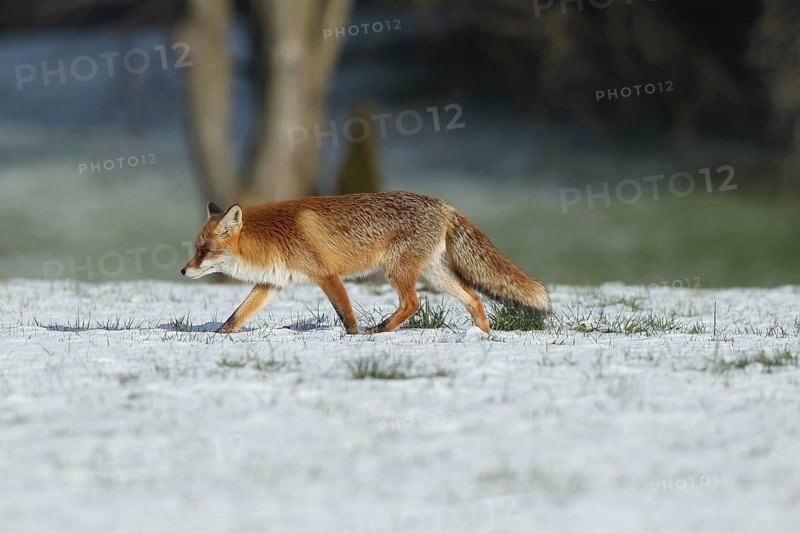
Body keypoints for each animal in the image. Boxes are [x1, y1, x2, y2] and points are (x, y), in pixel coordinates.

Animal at [181, 191, 550, 334]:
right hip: (435, 274)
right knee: (473, 298)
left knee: (412, 303)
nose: (183, 270)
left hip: (395, 269)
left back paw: (381, 330)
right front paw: (218, 336)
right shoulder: (272, 283)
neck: (271, 238)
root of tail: (443, 204)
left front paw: (353, 337)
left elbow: (346, 315)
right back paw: (483, 336)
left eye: (205, 250)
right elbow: (237, 315)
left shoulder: (327, 275)